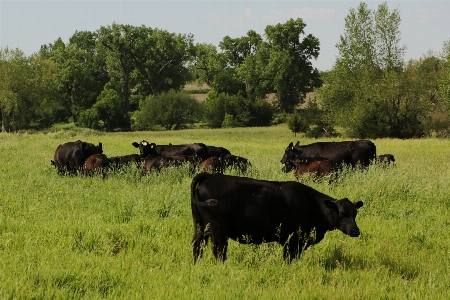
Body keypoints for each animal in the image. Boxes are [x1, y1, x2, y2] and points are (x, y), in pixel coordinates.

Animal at [192, 172, 364, 264]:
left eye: (355, 213)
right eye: (341, 213)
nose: (355, 231)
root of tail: (208, 176)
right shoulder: (292, 239)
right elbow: (289, 258)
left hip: (199, 226)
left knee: (197, 247)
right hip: (217, 230)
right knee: (219, 250)